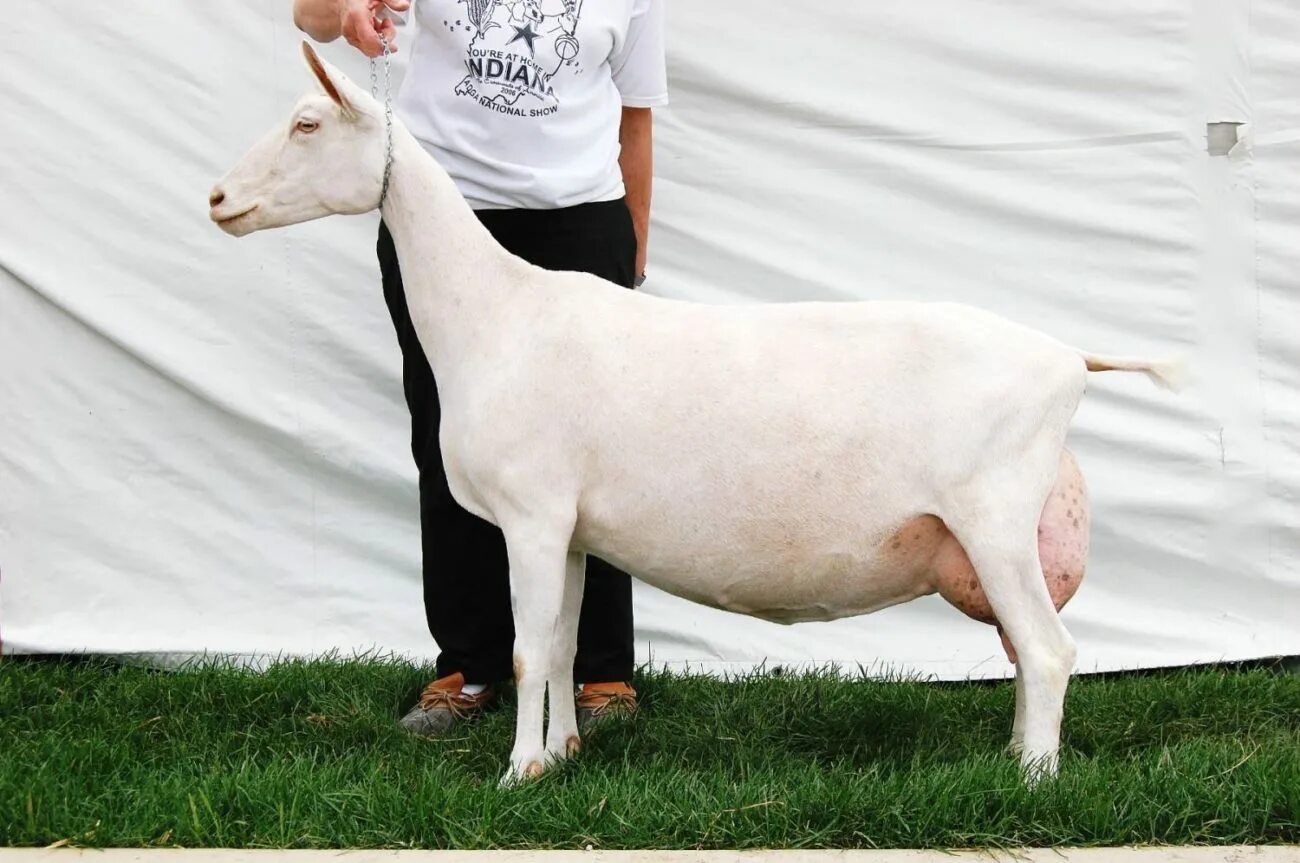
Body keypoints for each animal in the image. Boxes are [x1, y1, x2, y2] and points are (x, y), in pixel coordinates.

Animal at [213, 47, 1190, 790]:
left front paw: (517, 773)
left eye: (308, 124)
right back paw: (1014, 756)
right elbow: (561, 644)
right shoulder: (569, 528)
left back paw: (1031, 780)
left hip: (993, 516)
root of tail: (1067, 357)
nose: (219, 199)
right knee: (1027, 649)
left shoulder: (530, 514)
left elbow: (527, 650)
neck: (498, 313)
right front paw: (563, 753)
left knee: (1050, 649)